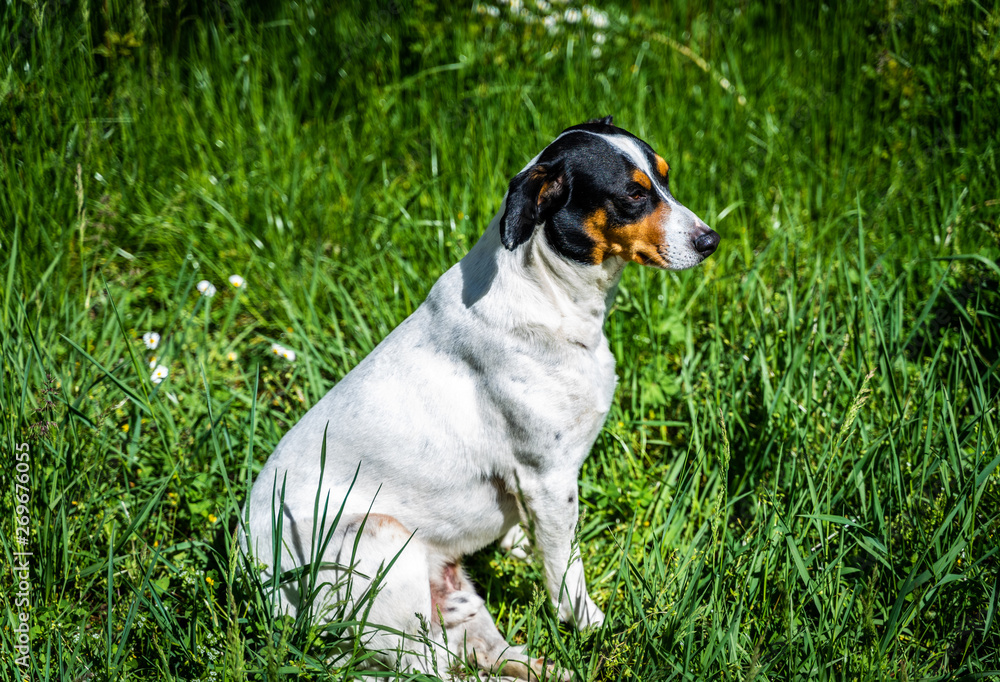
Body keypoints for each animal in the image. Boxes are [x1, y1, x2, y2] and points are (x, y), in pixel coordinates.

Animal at [246, 115, 724, 676]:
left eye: (665, 177)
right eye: (633, 193)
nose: (711, 239)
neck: (549, 294)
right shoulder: (548, 478)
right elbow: (566, 572)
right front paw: (590, 624)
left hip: (463, 604)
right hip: (379, 548)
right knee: (425, 665)